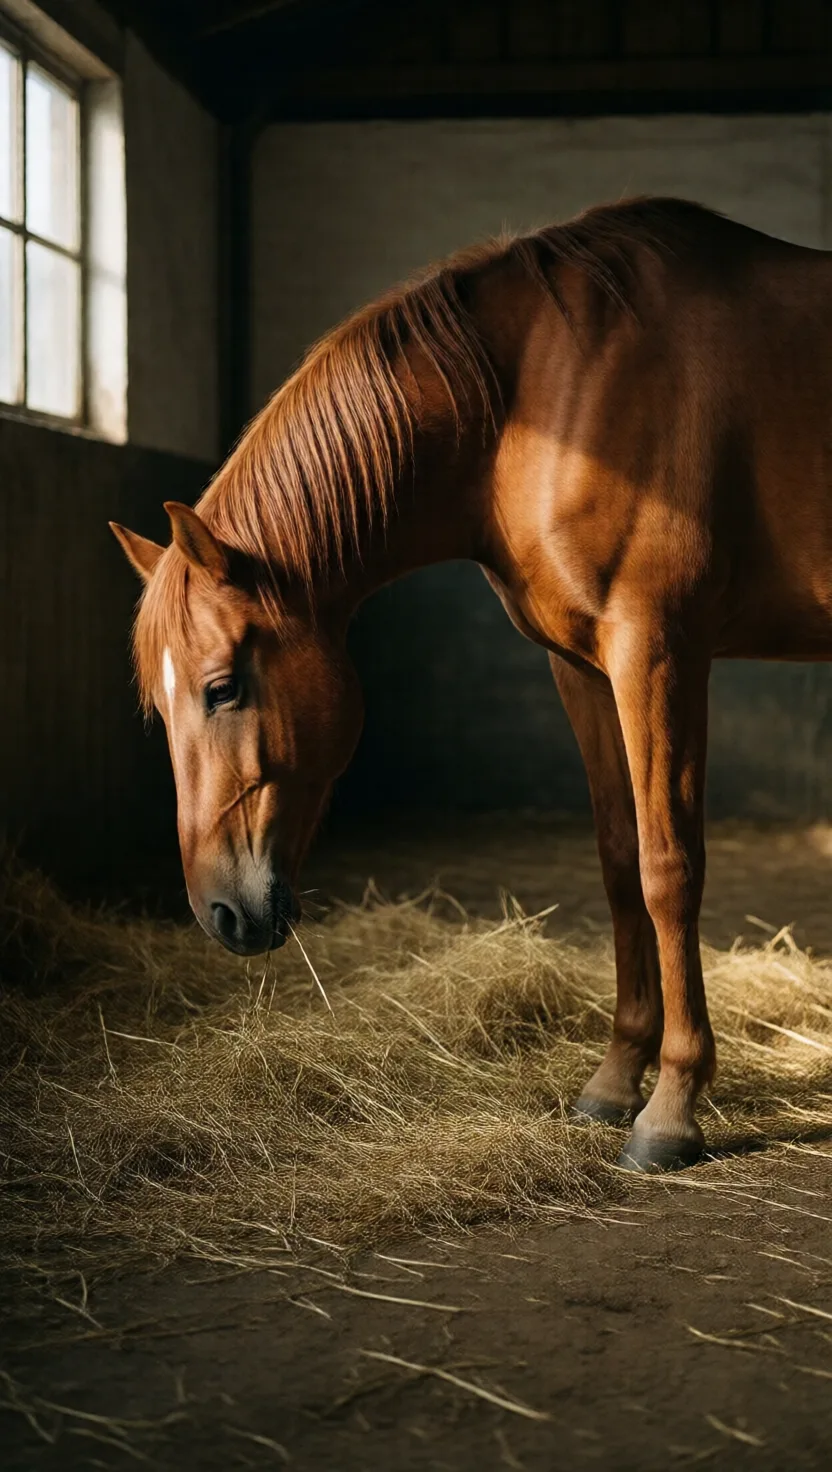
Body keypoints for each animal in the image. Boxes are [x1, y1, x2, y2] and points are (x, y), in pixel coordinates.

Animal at [111, 196, 832, 1174]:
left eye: (223, 688)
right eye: (160, 706)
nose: (221, 913)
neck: (541, 389)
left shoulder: (658, 652)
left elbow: (668, 865)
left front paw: (673, 1107)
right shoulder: (582, 666)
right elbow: (618, 858)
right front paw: (615, 1079)